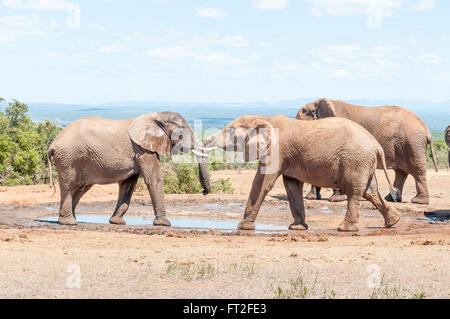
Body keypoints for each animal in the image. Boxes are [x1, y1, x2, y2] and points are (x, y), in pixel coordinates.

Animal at [48, 111, 211, 226]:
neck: (155, 116)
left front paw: (117, 222)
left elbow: (128, 184)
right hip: (69, 157)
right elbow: (154, 180)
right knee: (69, 186)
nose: (204, 192)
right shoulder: (143, 149)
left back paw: (70, 219)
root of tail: (52, 144)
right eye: (182, 134)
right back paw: (69, 222)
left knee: (81, 187)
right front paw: (164, 224)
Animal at [200, 115, 400, 232]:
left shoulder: (276, 150)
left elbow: (262, 182)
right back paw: (393, 222)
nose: (204, 193)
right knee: (370, 191)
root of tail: (377, 146)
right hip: (362, 161)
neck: (263, 119)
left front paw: (243, 227)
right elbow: (292, 185)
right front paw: (297, 228)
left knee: (354, 191)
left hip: (355, 160)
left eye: (230, 131)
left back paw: (345, 229)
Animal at [298, 99, 438, 206]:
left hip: (413, 143)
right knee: (401, 172)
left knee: (416, 169)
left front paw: (335, 200)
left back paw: (418, 201)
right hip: (404, 144)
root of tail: (426, 129)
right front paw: (311, 198)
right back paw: (391, 199)